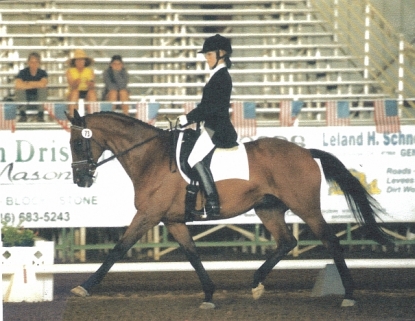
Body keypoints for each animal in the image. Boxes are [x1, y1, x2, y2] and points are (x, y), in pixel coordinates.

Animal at [68, 110, 394, 308]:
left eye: (77, 144)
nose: (80, 180)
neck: (151, 157)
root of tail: (305, 151)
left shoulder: (148, 216)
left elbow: (118, 249)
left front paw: (84, 287)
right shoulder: (172, 220)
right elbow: (192, 255)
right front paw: (209, 295)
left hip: (305, 207)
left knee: (331, 241)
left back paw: (348, 296)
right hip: (268, 208)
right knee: (286, 241)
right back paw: (256, 283)